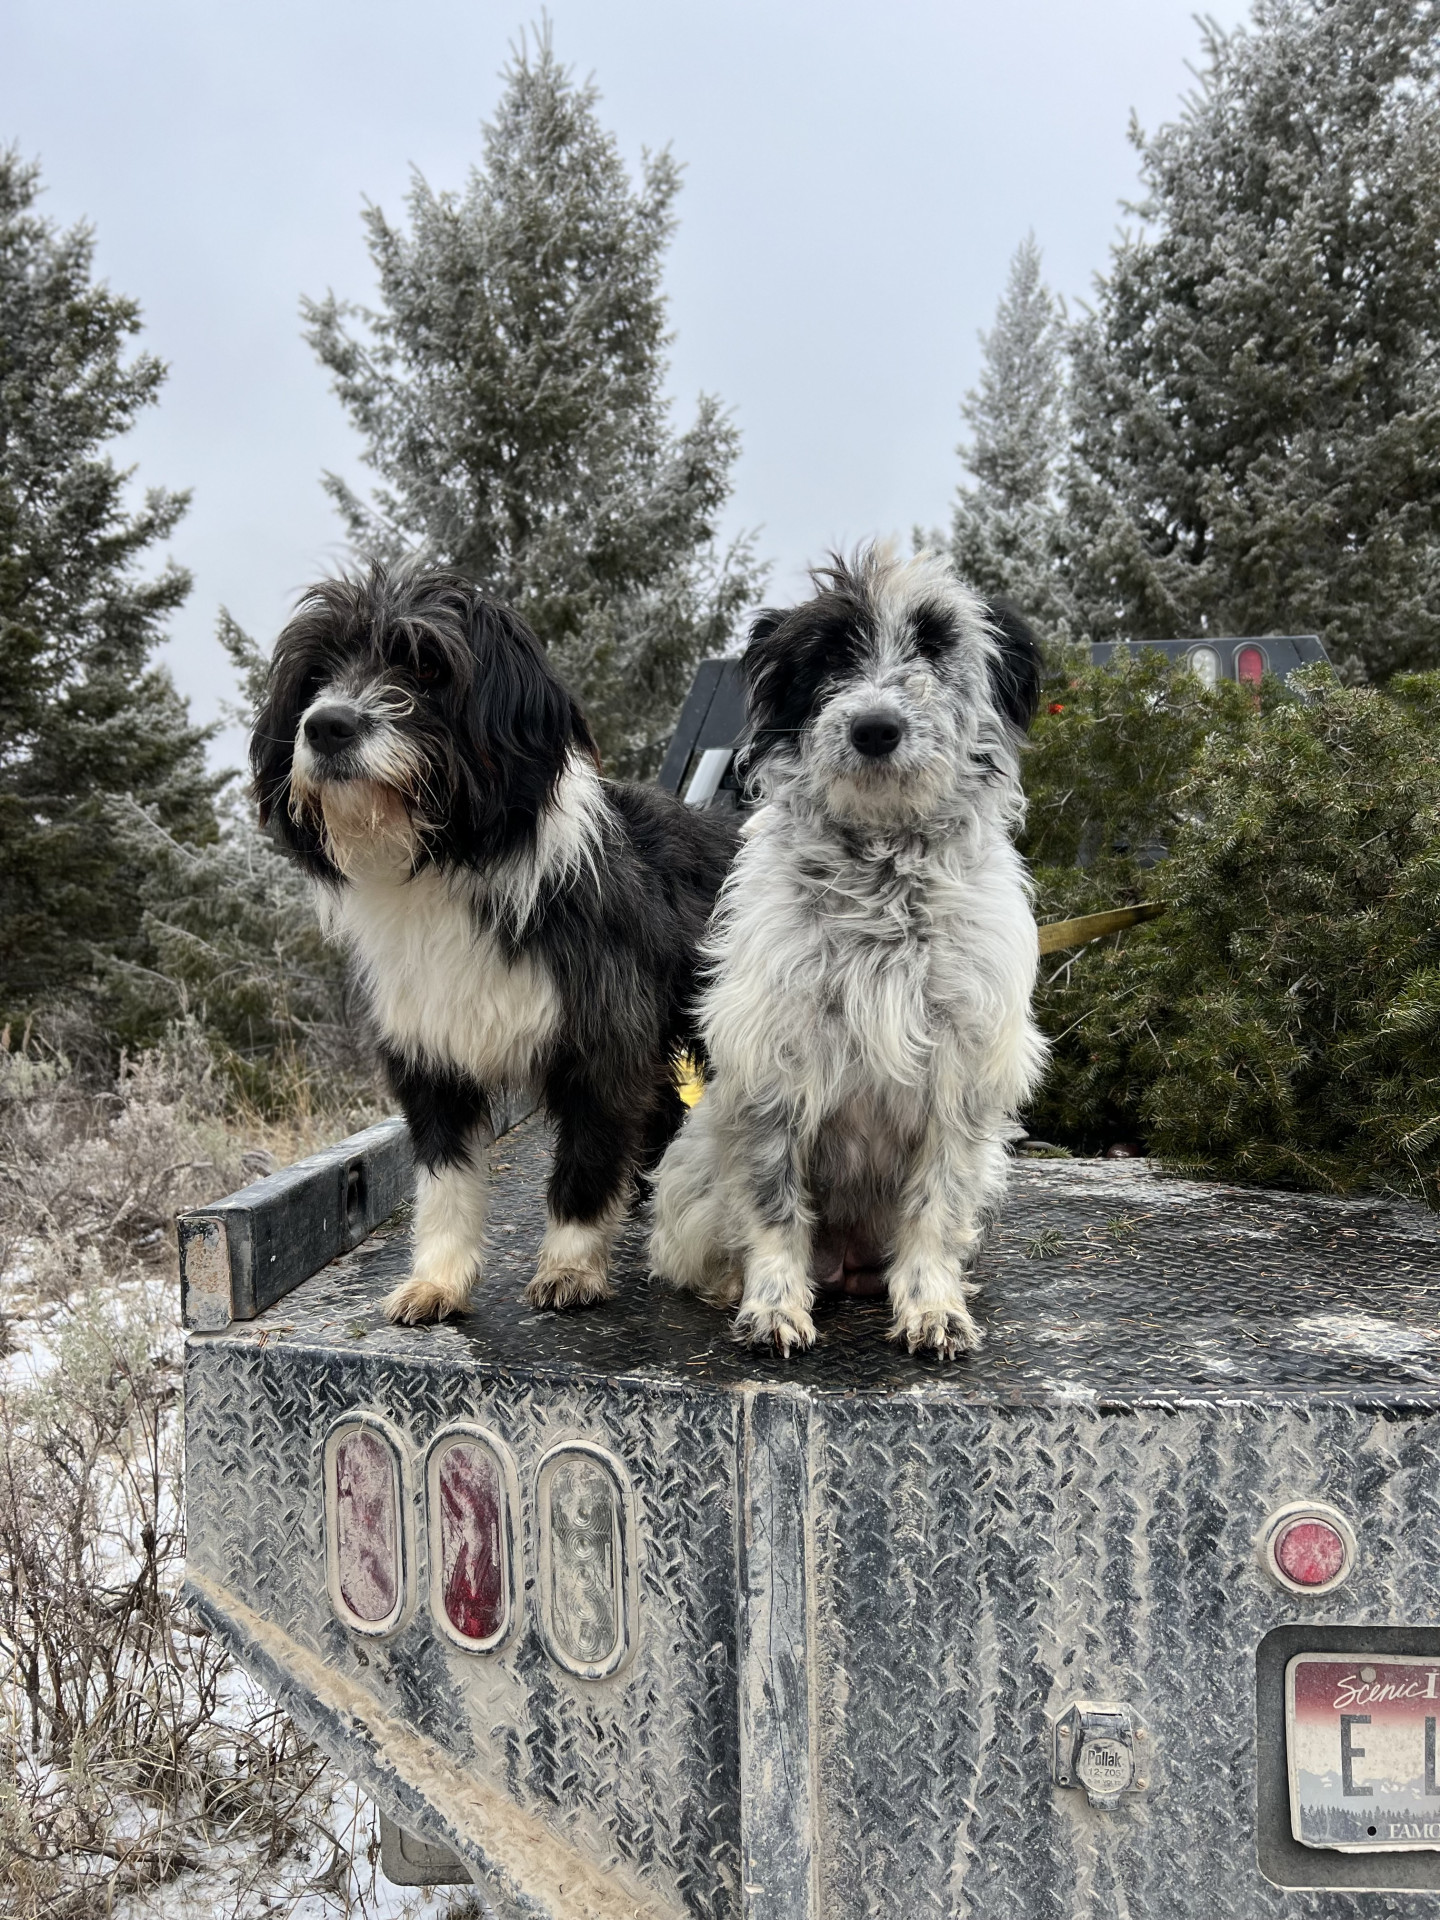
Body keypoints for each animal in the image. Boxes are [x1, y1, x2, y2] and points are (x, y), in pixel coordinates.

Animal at [247, 560, 737, 1328]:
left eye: (425, 666)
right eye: (316, 674)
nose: (327, 725)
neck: (449, 865)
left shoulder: (601, 1046)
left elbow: (584, 1164)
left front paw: (571, 1265)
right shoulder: (429, 1059)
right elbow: (444, 1180)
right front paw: (438, 1279)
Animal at [652, 549, 1052, 1359]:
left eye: (936, 642)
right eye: (831, 655)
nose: (875, 728)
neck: (881, 878)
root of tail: (847, 1264)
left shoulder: (963, 1075)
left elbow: (935, 1205)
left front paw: (933, 1306)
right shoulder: (773, 1067)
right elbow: (773, 1203)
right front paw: (774, 1304)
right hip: (694, 1159)